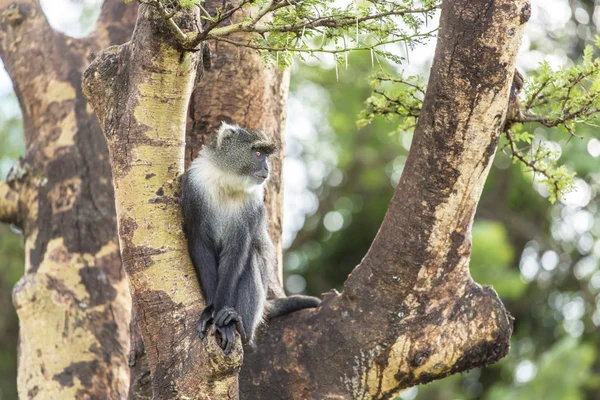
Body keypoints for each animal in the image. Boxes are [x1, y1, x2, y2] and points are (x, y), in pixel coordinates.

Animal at [182, 122, 324, 354]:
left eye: (265, 155)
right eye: (258, 153)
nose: (267, 168)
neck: (226, 182)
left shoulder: (251, 209)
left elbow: (238, 253)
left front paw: (221, 316)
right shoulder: (193, 192)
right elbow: (200, 246)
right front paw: (210, 310)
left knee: (252, 259)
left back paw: (241, 327)